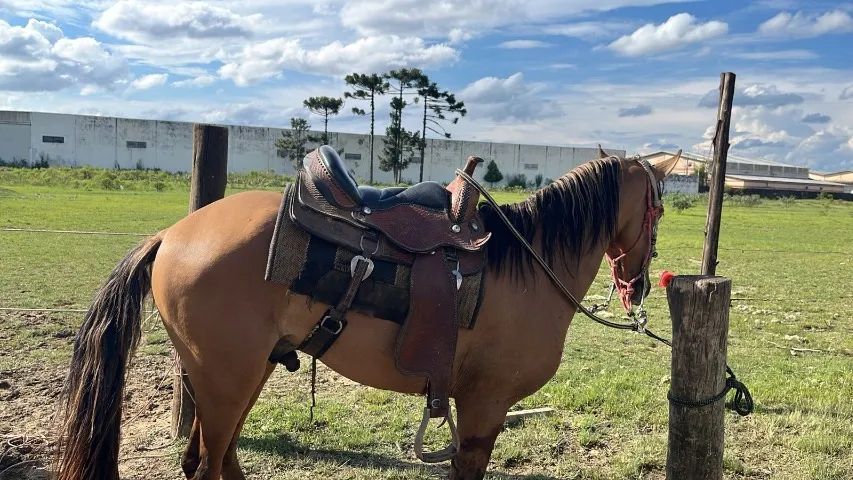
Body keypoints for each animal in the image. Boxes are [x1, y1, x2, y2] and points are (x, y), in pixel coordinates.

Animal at [55, 151, 681, 480]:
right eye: (660, 208)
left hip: (238, 375)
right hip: (227, 378)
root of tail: (171, 234)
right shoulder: (485, 405)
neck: (528, 265)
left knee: (216, 456)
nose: (638, 285)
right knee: (209, 463)